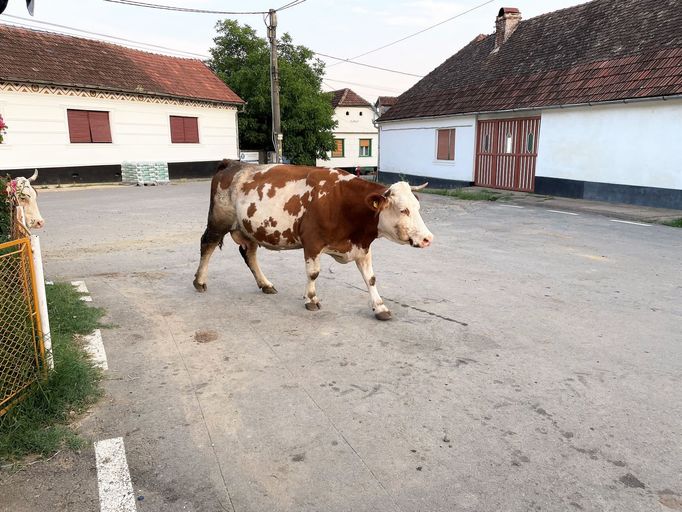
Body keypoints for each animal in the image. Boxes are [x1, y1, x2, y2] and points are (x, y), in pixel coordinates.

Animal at [194, 160, 432, 320]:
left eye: (418, 207)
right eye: (403, 210)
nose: (427, 238)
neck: (342, 201)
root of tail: (233, 163)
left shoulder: (362, 247)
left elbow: (370, 279)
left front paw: (380, 307)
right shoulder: (312, 242)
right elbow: (313, 273)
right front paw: (311, 299)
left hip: (249, 228)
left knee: (249, 253)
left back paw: (265, 284)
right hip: (219, 221)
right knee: (207, 245)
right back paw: (200, 281)